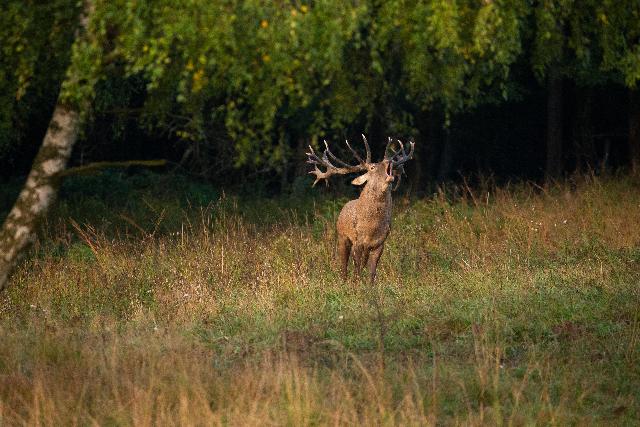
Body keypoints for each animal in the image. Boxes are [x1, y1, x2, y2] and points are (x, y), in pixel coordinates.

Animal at [306, 135, 416, 286]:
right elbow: (357, 268)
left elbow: (372, 271)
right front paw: (356, 285)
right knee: (344, 264)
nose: (389, 160)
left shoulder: (380, 243)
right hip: (342, 236)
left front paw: (370, 287)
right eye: (372, 167)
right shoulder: (357, 240)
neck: (372, 228)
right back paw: (343, 281)